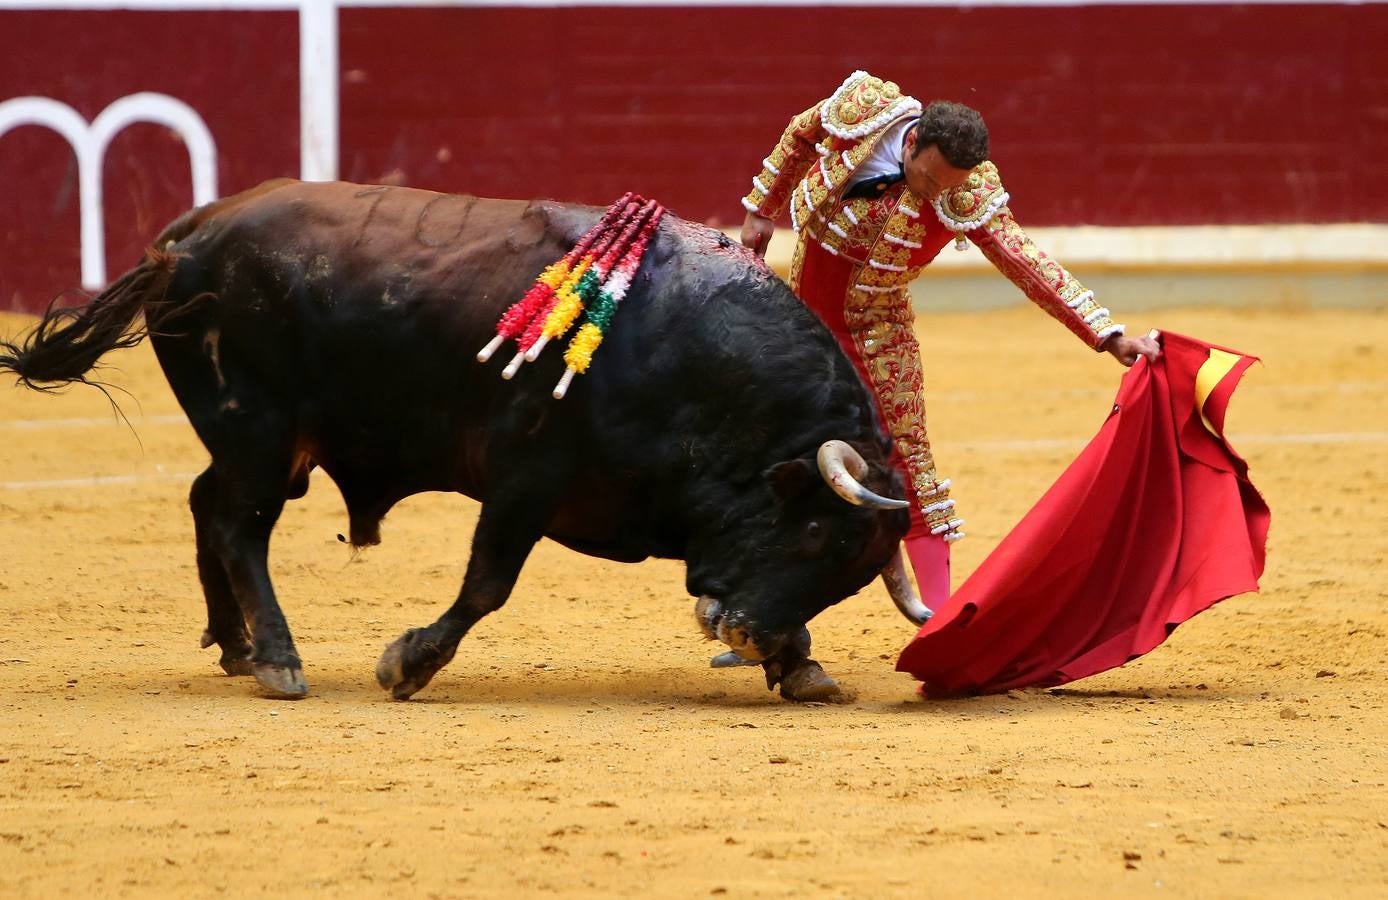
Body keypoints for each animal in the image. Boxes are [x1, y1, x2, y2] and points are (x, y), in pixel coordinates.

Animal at [8, 180, 932, 702]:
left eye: (849, 574)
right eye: (810, 530)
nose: (745, 636)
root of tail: (191, 233)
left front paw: (799, 665)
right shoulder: (523, 479)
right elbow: (488, 583)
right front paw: (408, 664)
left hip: (255, 443)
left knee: (208, 506)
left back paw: (235, 647)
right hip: (258, 431)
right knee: (239, 525)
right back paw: (277, 659)